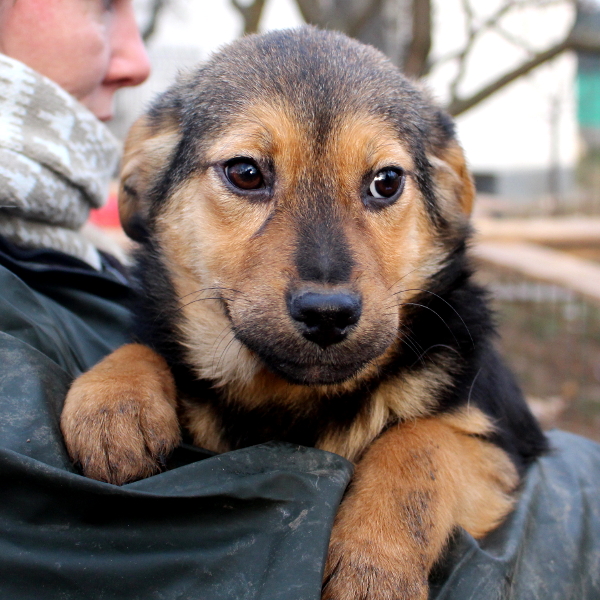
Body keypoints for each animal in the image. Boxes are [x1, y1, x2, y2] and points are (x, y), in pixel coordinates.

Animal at [62, 28, 548, 600]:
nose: (328, 313)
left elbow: (420, 444)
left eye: (387, 181)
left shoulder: (504, 442)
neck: (291, 398)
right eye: (246, 173)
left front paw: (374, 563)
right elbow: (146, 345)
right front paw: (114, 403)